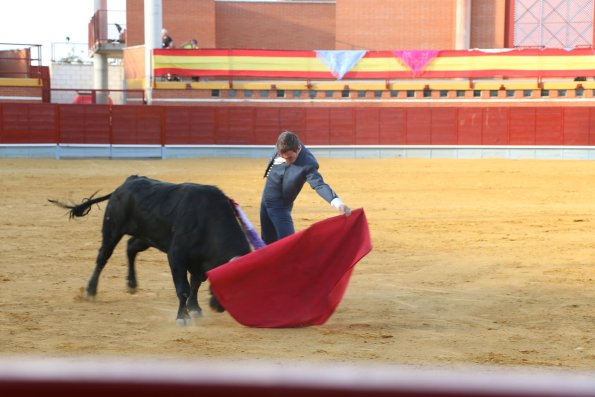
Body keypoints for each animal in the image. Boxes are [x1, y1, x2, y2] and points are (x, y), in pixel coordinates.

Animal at [47, 175, 250, 324]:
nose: (219, 308)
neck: (209, 219)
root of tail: (127, 182)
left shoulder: (199, 262)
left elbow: (195, 284)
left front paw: (195, 308)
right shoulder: (176, 256)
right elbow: (183, 287)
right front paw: (183, 317)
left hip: (146, 237)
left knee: (130, 248)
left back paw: (131, 284)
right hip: (112, 229)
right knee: (103, 256)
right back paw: (91, 290)